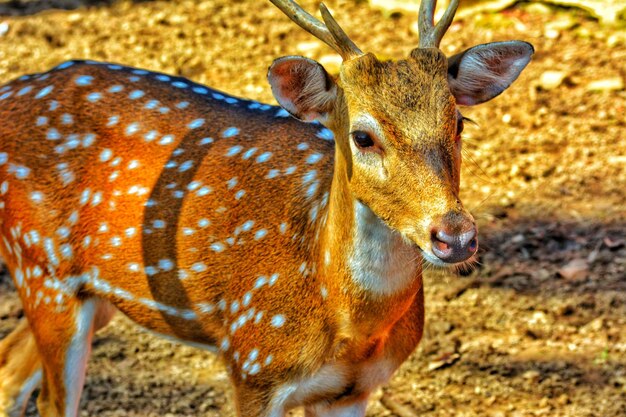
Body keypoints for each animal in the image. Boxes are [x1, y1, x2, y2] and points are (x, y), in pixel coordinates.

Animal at [0, 0, 532, 414]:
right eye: (363, 136)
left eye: (459, 122)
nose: (455, 235)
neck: (348, 325)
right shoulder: (252, 365)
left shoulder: (352, 392)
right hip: (40, 265)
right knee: (50, 400)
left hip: (97, 292)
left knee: (10, 369)